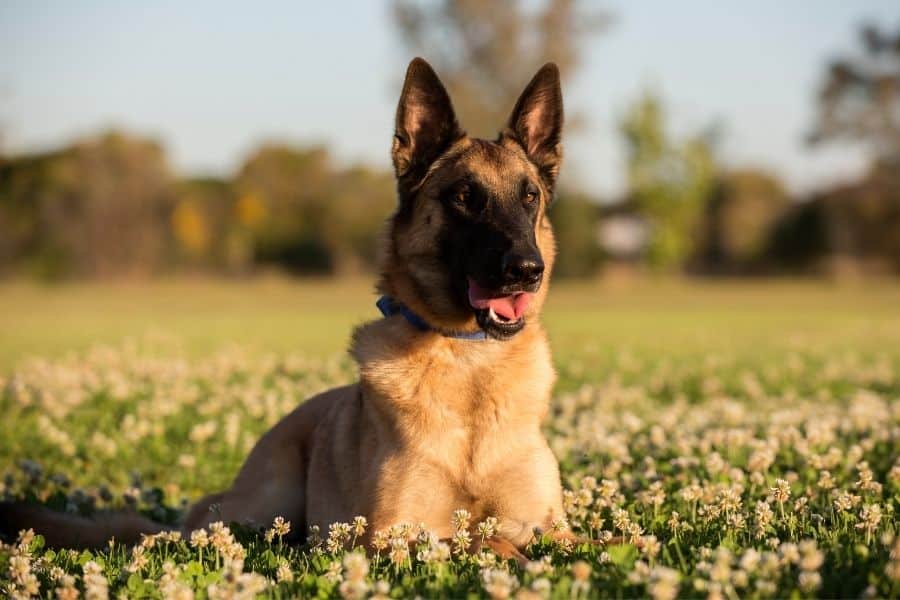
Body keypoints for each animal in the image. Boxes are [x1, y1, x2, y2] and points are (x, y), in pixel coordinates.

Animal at [1, 58, 568, 560]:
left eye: (529, 197)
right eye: (465, 197)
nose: (527, 269)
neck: (471, 362)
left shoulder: (556, 530)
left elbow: (549, 540)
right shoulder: (387, 534)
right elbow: (478, 539)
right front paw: (507, 552)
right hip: (261, 503)